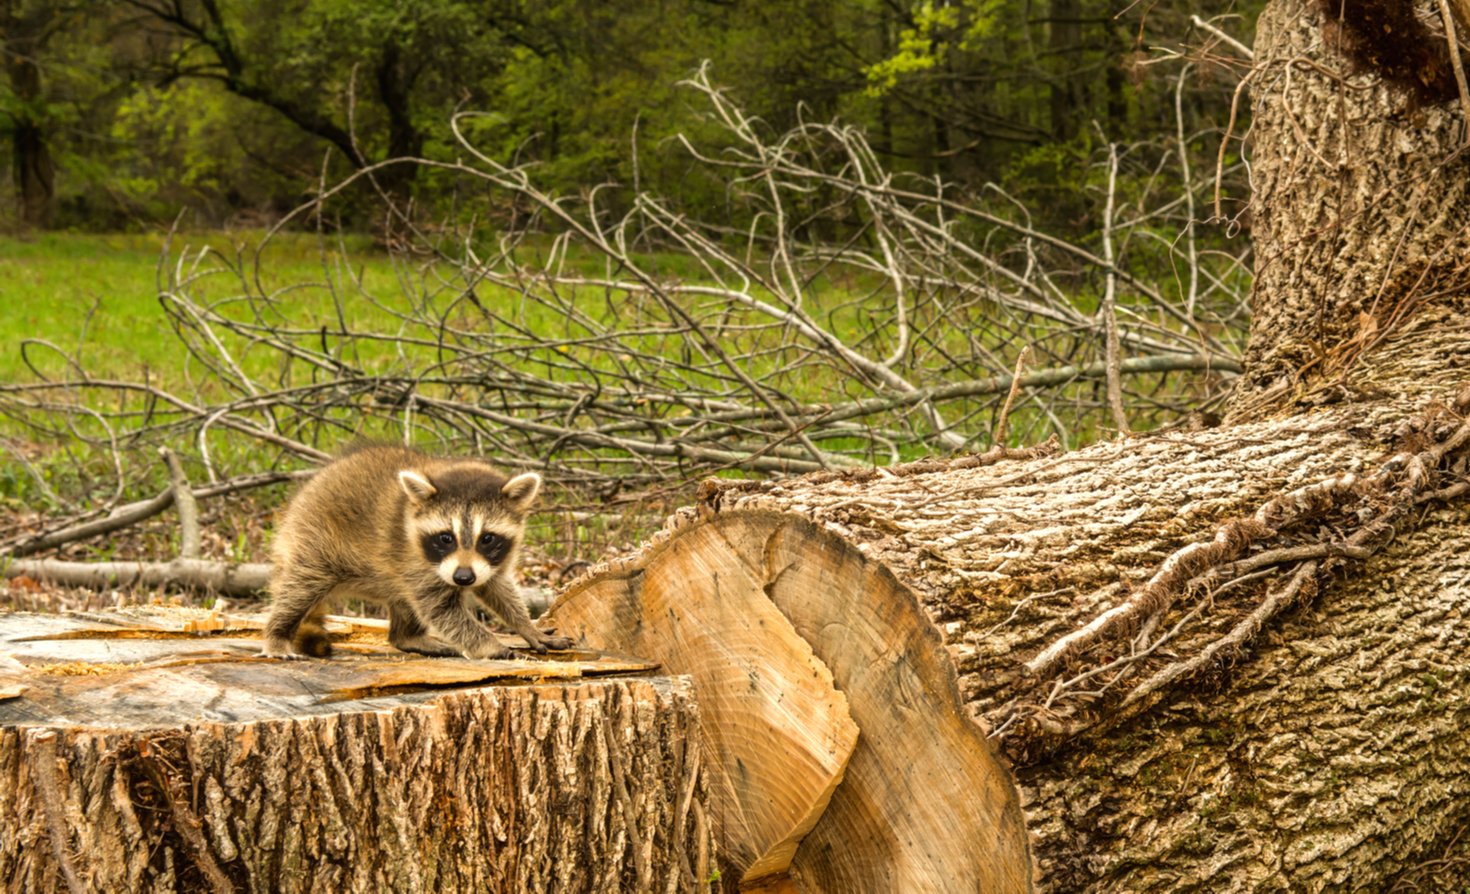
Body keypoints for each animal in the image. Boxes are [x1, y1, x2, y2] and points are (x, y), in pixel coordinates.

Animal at [261, 444, 570, 658]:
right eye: (446, 538)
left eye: (487, 538)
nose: (463, 578)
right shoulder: (414, 560)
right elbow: (443, 611)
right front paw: (491, 645)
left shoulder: (490, 562)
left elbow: (498, 589)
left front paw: (526, 626)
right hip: (313, 540)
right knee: (299, 589)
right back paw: (277, 634)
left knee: (402, 603)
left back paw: (408, 637)